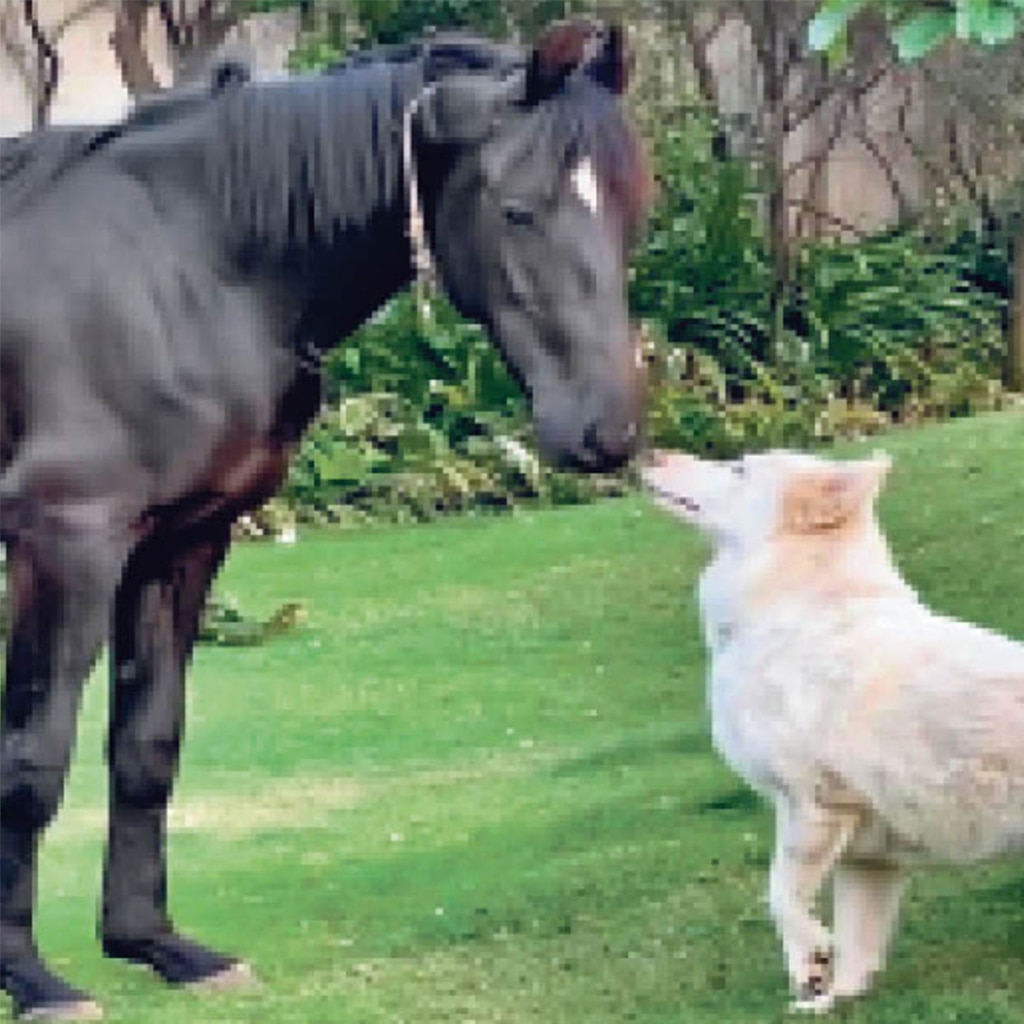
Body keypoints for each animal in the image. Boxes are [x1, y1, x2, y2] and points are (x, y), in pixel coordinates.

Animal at [0, 20, 649, 1021]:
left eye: (630, 206)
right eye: (517, 212)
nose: (607, 432)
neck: (182, 267)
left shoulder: (180, 543)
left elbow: (147, 744)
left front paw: (157, 945)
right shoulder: (65, 545)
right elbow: (33, 761)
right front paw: (33, 979)